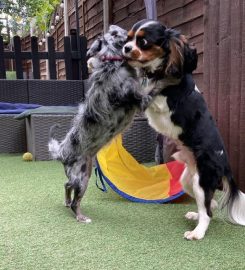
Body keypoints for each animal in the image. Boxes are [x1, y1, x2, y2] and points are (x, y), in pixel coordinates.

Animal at [123, 20, 245, 240]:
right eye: (128, 39)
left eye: (143, 42)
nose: (126, 48)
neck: (160, 72)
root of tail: (225, 164)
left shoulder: (162, 103)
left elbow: (147, 94)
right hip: (189, 181)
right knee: (209, 206)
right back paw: (196, 215)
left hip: (202, 181)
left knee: (208, 212)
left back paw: (197, 233)